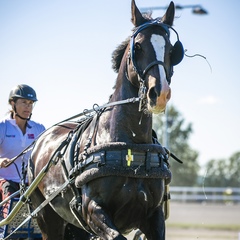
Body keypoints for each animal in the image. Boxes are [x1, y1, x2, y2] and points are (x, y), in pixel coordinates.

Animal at [27, 0, 184, 239]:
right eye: (138, 47)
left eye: (172, 50)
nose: (160, 93)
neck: (130, 148)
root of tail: (40, 141)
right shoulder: (93, 210)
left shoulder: (153, 215)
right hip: (48, 219)